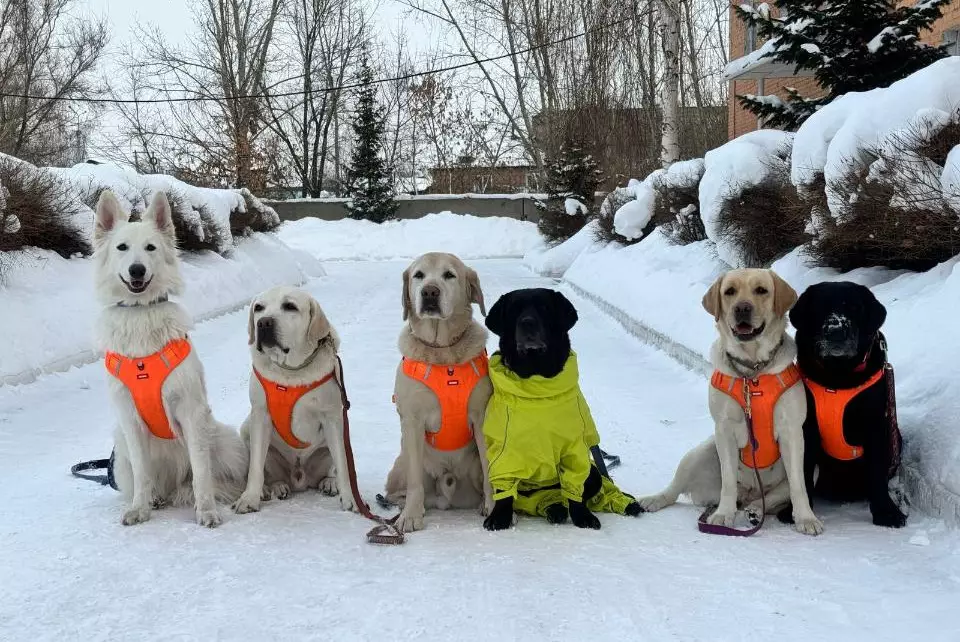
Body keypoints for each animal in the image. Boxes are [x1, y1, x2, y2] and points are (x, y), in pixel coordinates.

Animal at [94, 189, 248, 524]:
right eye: (122, 247)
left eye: (150, 248)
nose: (137, 270)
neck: (140, 315)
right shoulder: (130, 421)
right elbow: (143, 474)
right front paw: (139, 508)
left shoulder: (190, 412)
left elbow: (201, 472)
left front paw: (207, 511)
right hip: (120, 450)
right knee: (152, 482)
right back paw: (155, 499)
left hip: (222, 438)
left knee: (214, 478)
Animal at [232, 288, 356, 512]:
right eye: (258, 308)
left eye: (290, 306)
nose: (263, 323)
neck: (290, 373)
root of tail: (299, 479)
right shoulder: (260, 414)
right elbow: (255, 466)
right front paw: (249, 498)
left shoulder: (332, 417)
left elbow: (343, 465)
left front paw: (349, 499)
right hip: (247, 428)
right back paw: (273, 487)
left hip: (340, 432)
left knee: (335, 464)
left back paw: (329, 482)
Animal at [380, 251, 492, 528]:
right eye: (418, 275)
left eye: (449, 275)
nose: (430, 292)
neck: (443, 354)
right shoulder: (412, 421)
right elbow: (415, 482)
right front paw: (410, 516)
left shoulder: (482, 417)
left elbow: (490, 470)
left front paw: (494, 507)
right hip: (401, 460)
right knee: (397, 489)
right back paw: (406, 506)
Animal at [640, 268, 820, 532]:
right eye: (730, 291)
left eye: (761, 290)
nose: (742, 308)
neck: (752, 372)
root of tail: (749, 493)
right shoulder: (724, 429)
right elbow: (728, 481)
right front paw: (723, 515)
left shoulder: (792, 432)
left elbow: (798, 486)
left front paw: (806, 519)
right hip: (700, 451)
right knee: (675, 489)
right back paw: (654, 499)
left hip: (810, 469)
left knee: (769, 498)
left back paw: (755, 510)